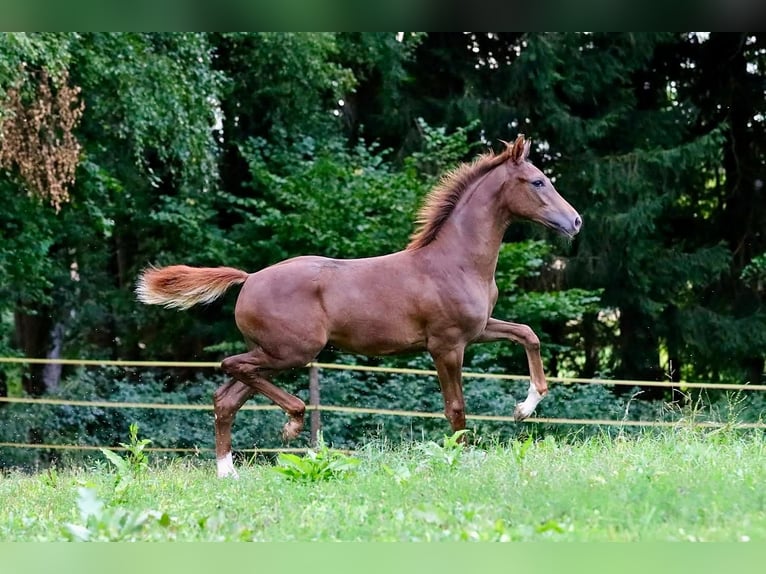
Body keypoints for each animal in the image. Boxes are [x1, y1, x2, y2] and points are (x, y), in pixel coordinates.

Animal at [136, 134, 582, 478]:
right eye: (538, 182)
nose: (575, 221)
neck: (456, 260)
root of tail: (249, 278)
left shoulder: (480, 329)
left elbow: (528, 334)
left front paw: (525, 408)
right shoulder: (446, 345)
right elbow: (455, 407)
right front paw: (461, 458)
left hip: (272, 354)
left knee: (225, 397)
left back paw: (227, 471)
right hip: (291, 352)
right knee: (231, 367)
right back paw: (291, 423)